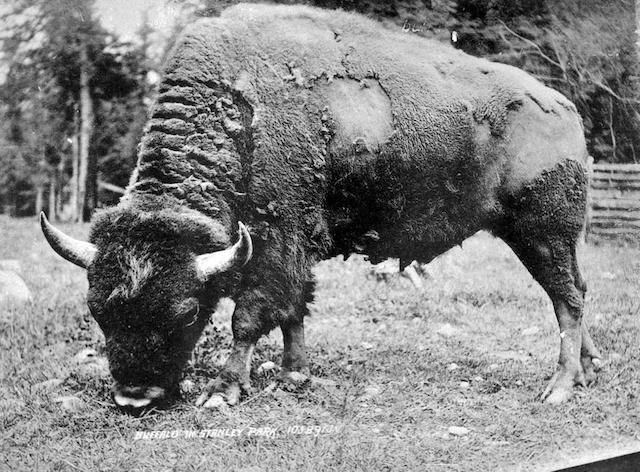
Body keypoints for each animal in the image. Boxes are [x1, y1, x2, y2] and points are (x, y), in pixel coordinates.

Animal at [40, 1, 600, 412]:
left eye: (186, 311)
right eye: (97, 310)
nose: (134, 399)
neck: (243, 113)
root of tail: (565, 108)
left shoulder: (275, 240)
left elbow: (250, 316)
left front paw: (224, 390)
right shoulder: (294, 249)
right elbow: (295, 311)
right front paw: (294, 374)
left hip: (543, 233)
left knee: (567, 298)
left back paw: (559, 388)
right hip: (547, 238)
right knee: (572, 293)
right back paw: (591, 368)